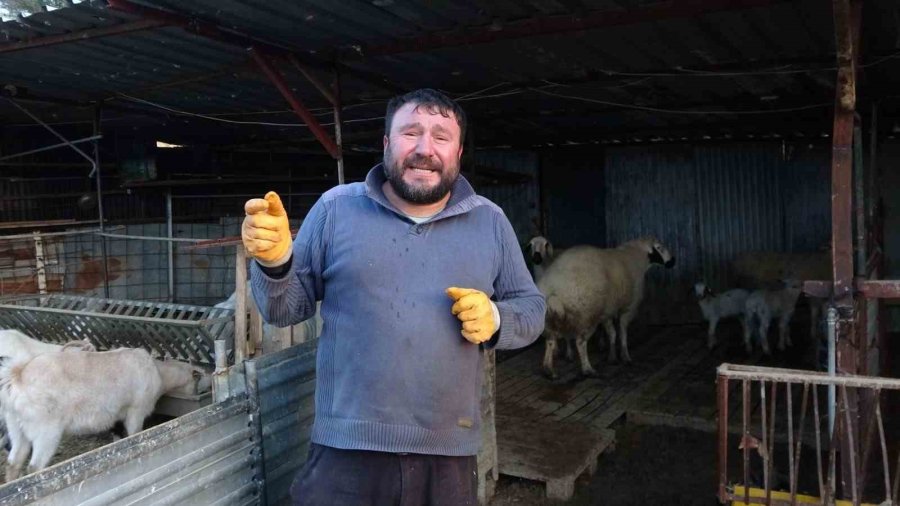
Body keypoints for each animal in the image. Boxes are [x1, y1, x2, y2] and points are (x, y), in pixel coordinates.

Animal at [2, 348, 209, 482]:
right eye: (197, 380)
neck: (160, 373)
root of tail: (19, 376)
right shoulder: (136, 410)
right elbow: (134, 434)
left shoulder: (117, 414)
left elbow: (117, 437)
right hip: (46, 430)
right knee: (34, 467)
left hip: (16, 427)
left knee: (14, 462)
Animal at [536, 238, 676, 380]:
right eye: (660, 248)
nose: (673, 261)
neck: (635, 258)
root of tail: (553, 286)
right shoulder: (628, 308)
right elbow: (622, 332)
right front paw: (625, 356)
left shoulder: (607, 311)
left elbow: (612, 333)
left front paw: (612, 357)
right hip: (586, 315)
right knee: (580, 342)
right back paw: (587, 369)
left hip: (549, 319)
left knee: (550, 340)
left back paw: (549, 370)